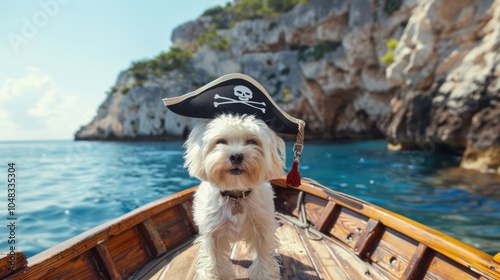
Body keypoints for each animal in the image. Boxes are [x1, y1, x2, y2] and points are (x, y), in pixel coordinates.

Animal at [184, 114, 286, 280]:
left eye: (252, 141)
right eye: (220, 141)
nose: (236, 156)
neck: (236, 194)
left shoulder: (262, 229)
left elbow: (263, 257)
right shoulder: (212, 233)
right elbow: (214, 260)